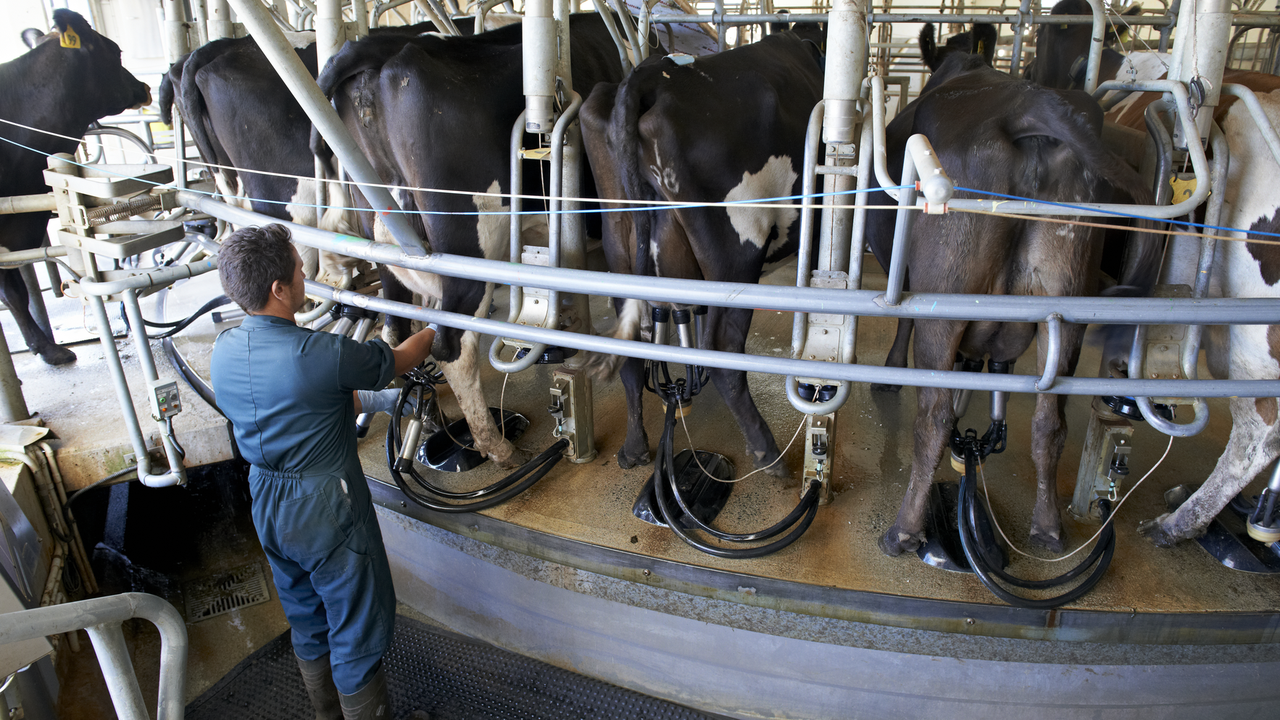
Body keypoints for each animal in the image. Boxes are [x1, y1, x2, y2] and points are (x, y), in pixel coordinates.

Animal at [0, 8, 151, 361]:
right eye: (116, 51)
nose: (144, 87)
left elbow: (14, 293)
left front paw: (47, 348)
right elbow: (13, 293)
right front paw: (46, 348)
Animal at [312, 16, 627, 468]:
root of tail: (378, 47)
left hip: (386, 239)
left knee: (394, 327)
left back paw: (420, 412)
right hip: (469, 249)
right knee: (454, 346)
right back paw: (495, 446)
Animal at [578, 30, 819, 474]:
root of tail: (646, 78)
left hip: (618, 246)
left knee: (630, 356)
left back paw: (634, 448)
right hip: (735, 253)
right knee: (723, 351)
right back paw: (768, 454)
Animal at [870, 53, 1162, 550]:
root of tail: (1028, 104)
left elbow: (904, 325)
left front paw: (891, 372)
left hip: (944, 298)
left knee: (934, 418)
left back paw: (904, 530)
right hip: (1068, 306)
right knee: (1050, 425)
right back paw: (1048, 528)